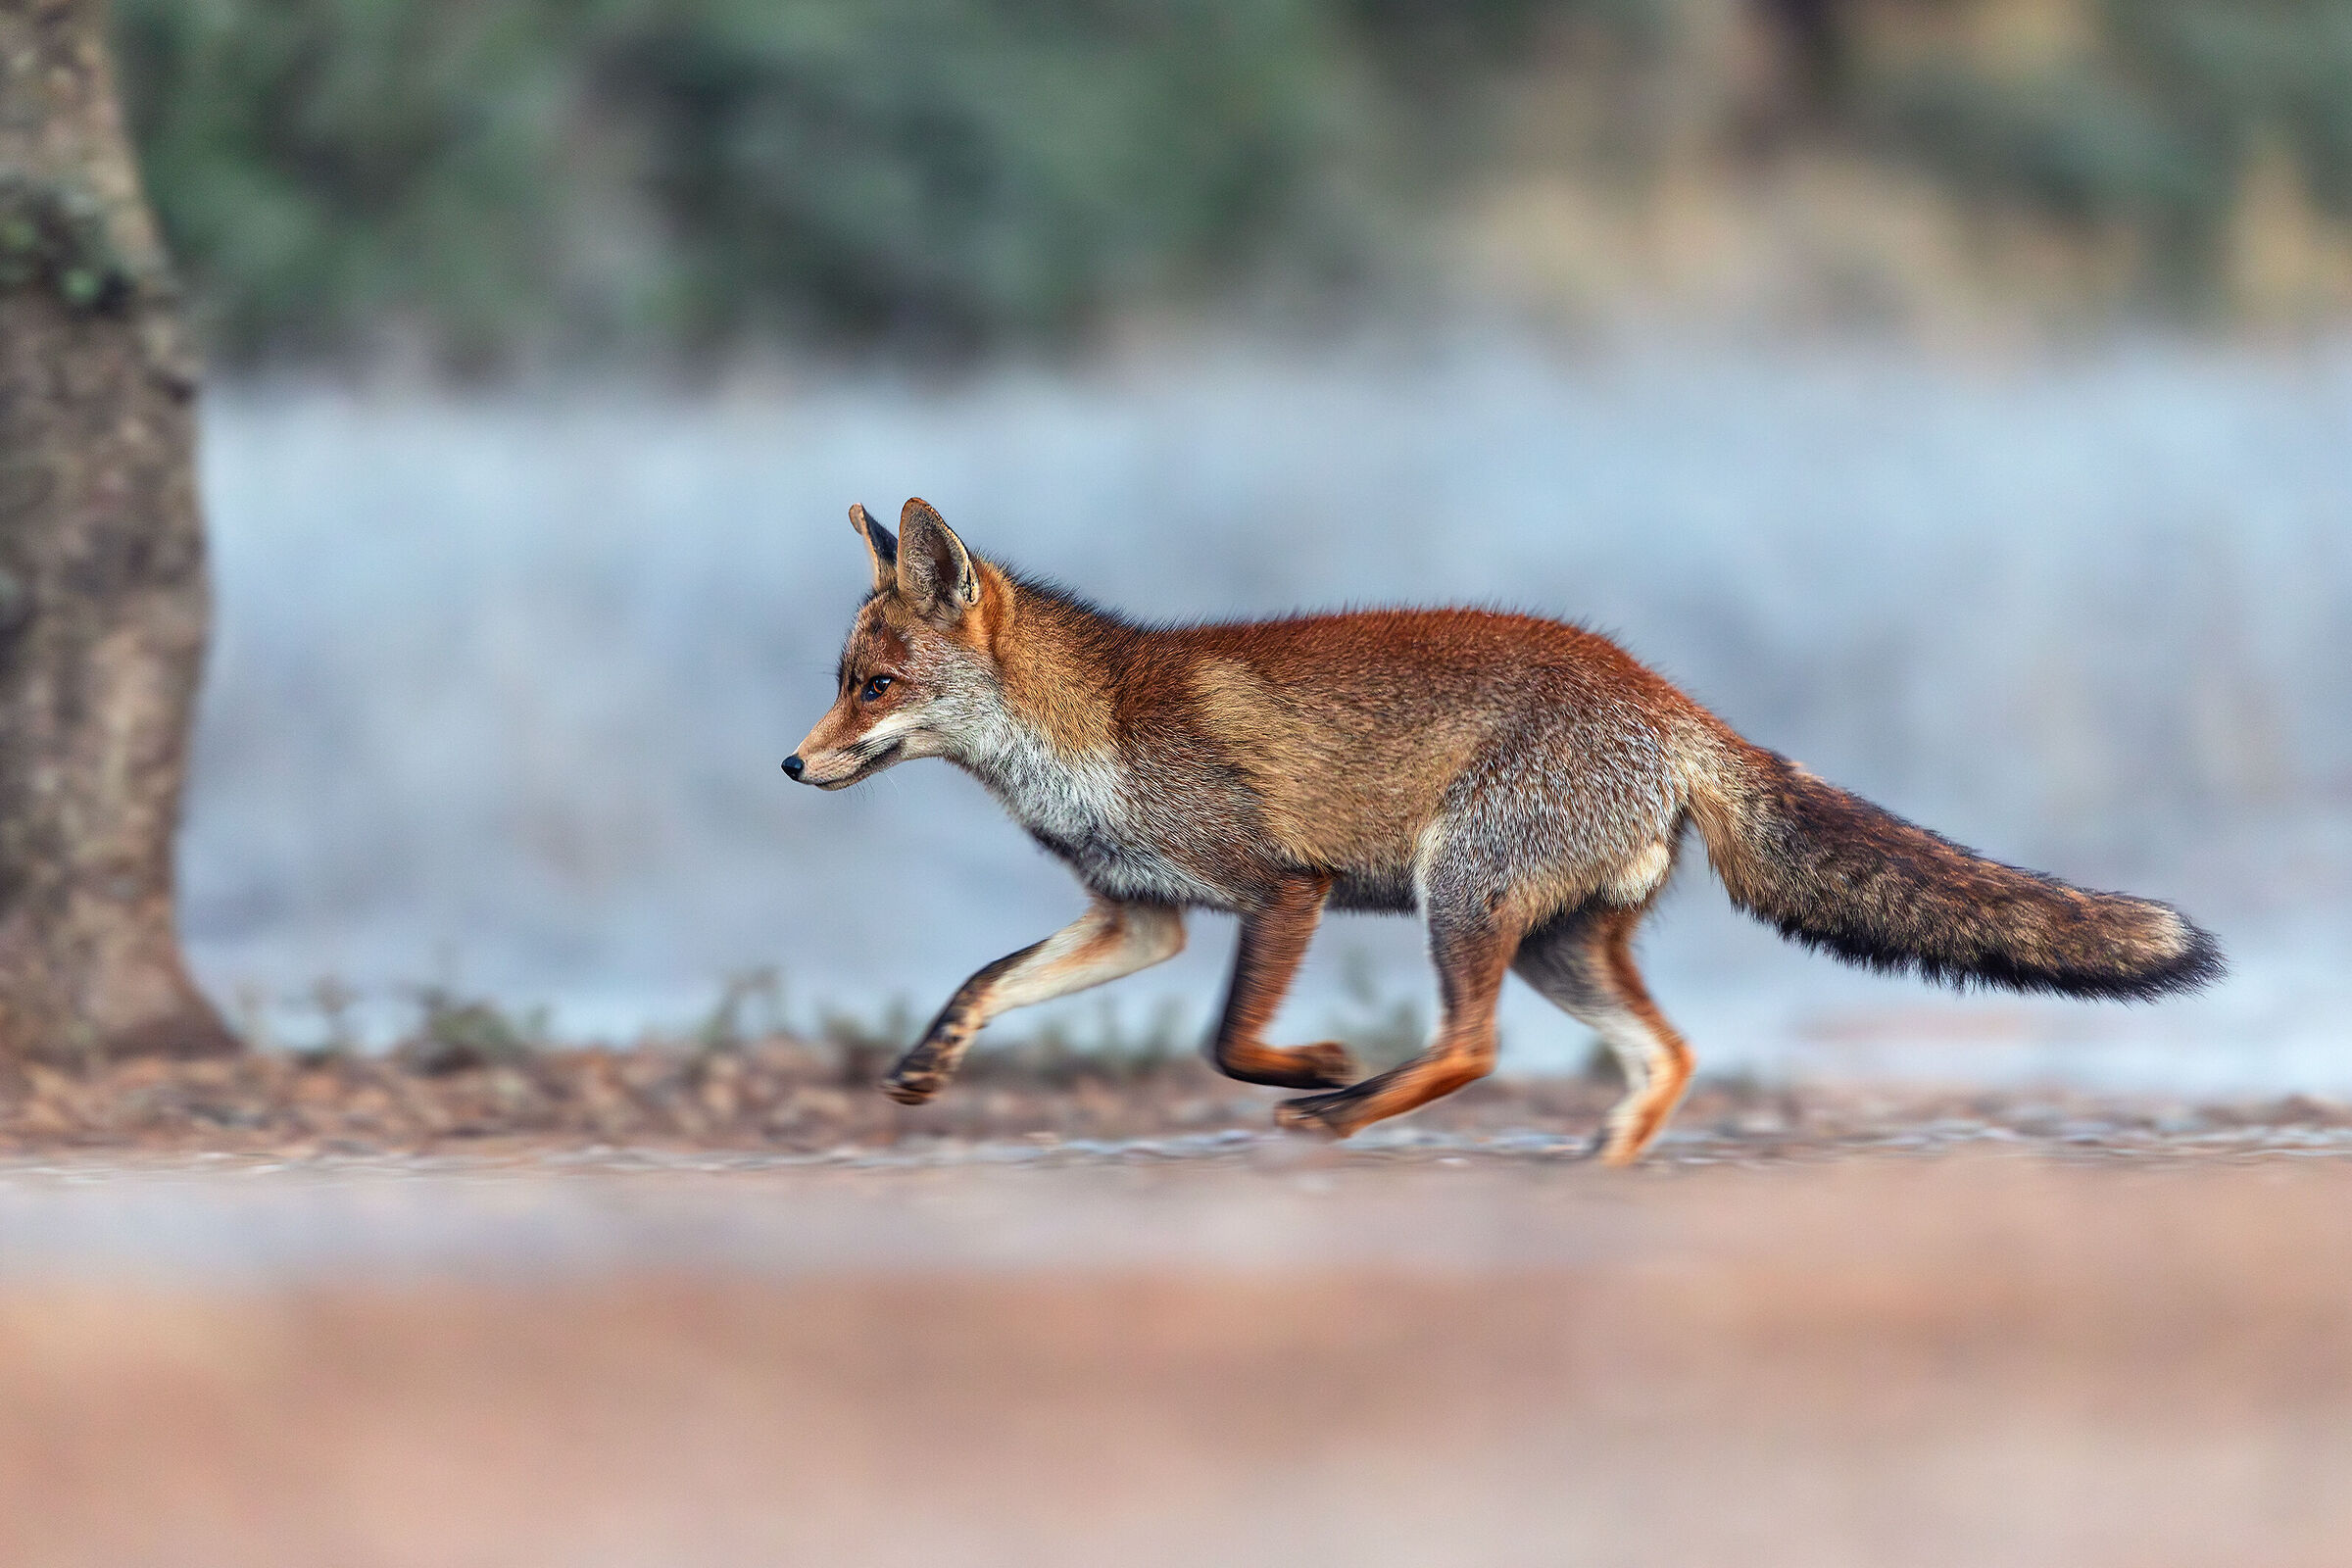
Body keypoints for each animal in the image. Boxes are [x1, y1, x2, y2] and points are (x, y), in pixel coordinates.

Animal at [785, 498, 2223, 1164]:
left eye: (876, 686)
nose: (793, 763)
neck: (1092, 733)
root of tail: (1672, 700)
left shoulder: (1281, 889)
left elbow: (1230, 1042)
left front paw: (1312, 1062)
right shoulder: (1138, 917)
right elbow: (988, 980)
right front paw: (926, 1066)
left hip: (1461, 892)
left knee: (1472, 1047)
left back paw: (1344, 1108)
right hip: (1551, 941)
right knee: (1667, 1051)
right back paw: (1599, 1163)